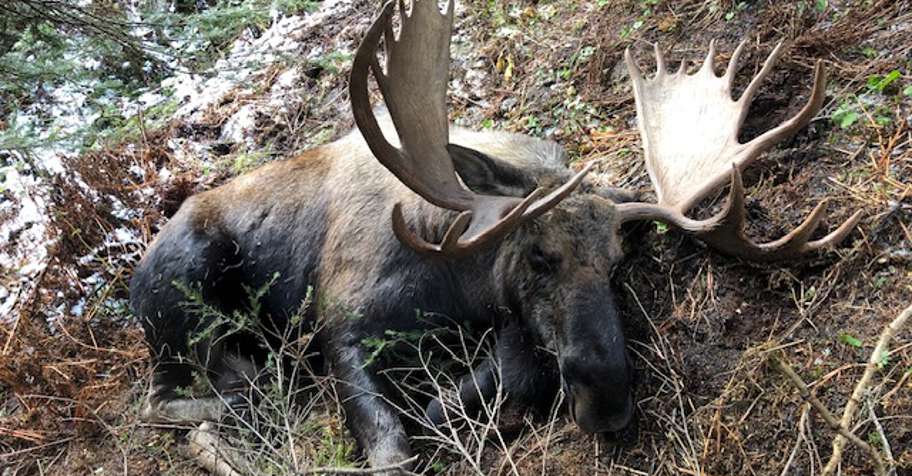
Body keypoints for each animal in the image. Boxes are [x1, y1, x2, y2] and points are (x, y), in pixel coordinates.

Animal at [130, 1, 862, 474]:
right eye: (539, 256)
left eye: (618, 265)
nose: (608, 401)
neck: (451, 286)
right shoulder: (340, 321)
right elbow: (391, 449)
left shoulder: (508, 324)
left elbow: (507, 376)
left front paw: (450, 406)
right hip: (186, 290)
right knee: (166, 398)